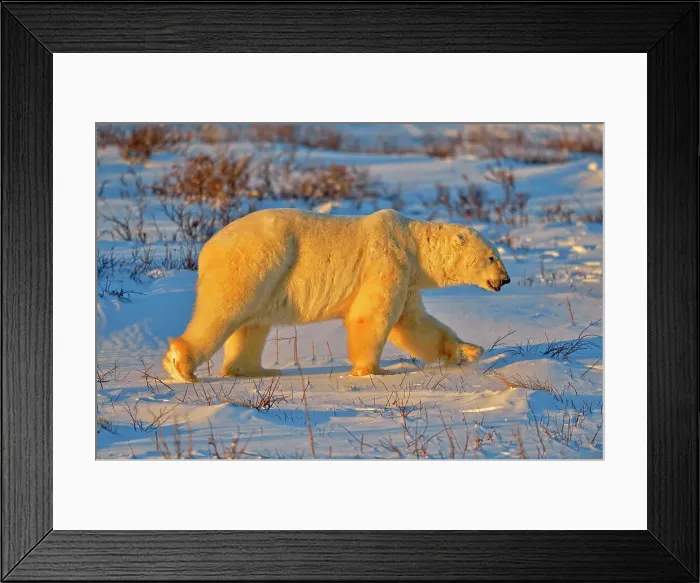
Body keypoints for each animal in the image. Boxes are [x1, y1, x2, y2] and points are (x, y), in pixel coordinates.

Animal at [163, 208, 510, 381]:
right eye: (492, 256)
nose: (505, 280)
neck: (410, 241)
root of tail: (207, 248)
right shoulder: (386, 262)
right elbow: (373, 316)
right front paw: (371, 371)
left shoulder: (408, 277)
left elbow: (414, 323)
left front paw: (469, 351)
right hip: (256, 262)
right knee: (224, 311)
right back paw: (182, 367)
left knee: (252, 325)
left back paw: (253, 370)